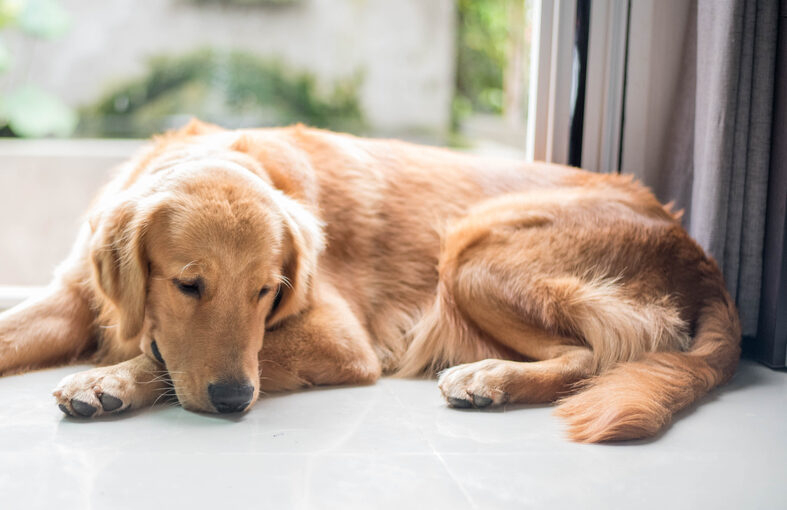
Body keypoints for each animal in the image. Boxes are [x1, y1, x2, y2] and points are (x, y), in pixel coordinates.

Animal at [0, 120, 740, 442]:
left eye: (267, 291)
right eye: (189, 286)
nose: (236, 401)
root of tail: (698, 251)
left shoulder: (340, 339)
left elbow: (160, 359)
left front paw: (109, 379)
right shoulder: (72, 297)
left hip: (473, 252)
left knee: (599, 354)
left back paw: (489, 378)